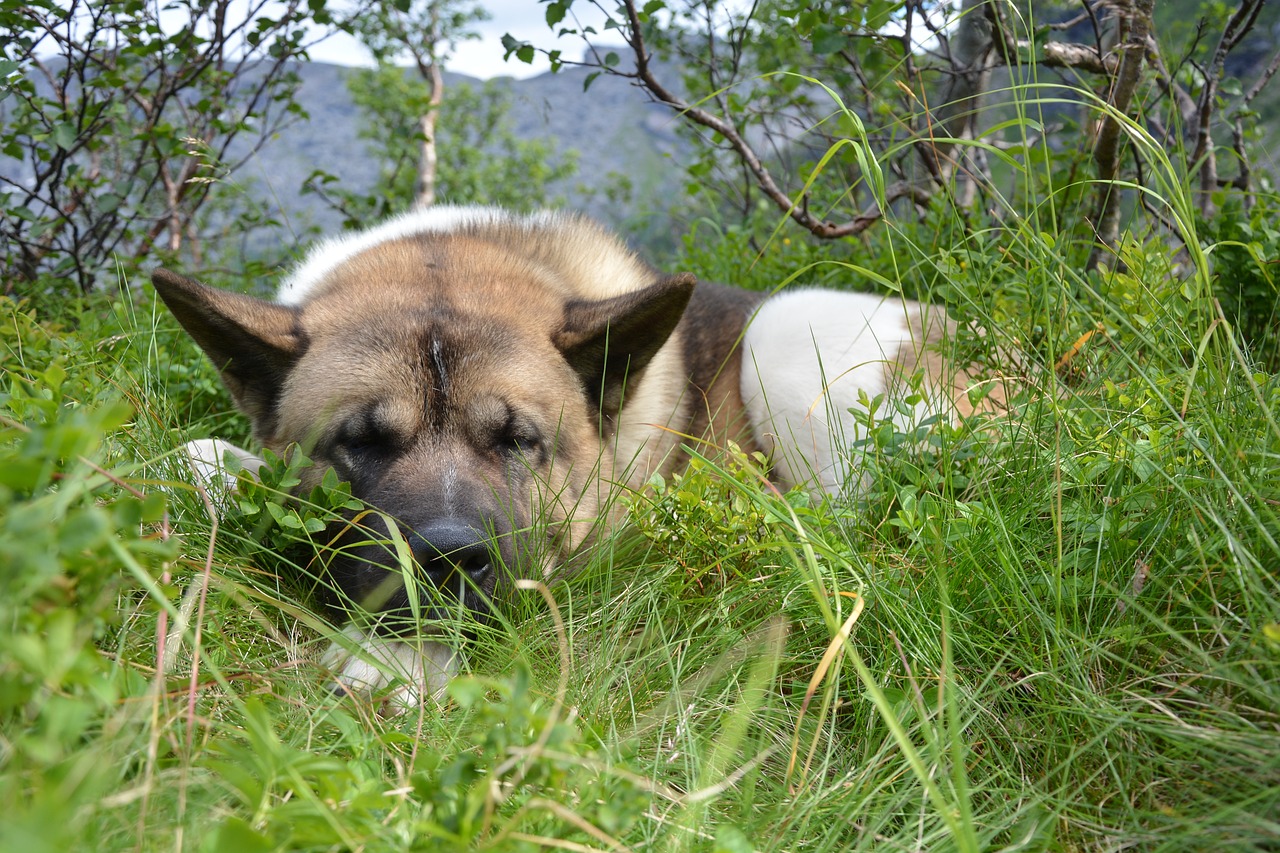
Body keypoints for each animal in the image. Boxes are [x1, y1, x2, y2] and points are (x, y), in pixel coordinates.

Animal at [154, 206, 998, 701]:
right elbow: (193, 453)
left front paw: (394, 659)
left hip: (785, 334)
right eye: (359, 442)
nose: (450, 558)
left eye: (518, 440)